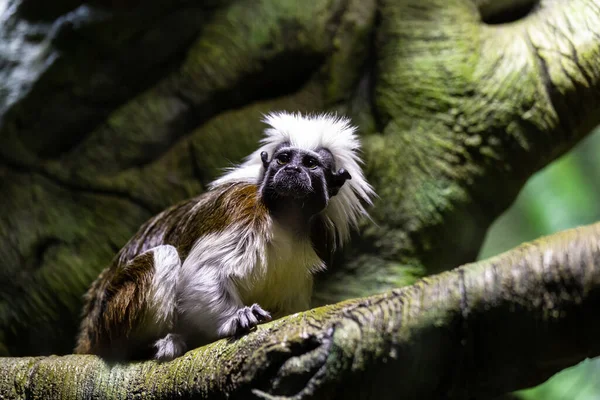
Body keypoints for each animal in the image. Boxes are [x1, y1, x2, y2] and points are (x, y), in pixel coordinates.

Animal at [74, 111, 376, 360]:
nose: (291, 170)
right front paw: (236, 317)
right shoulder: (241, 207)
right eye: (284, 158)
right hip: (112, 316)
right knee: (164, 256)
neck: (283, 219)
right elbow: (203, 272)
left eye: (310, 163)